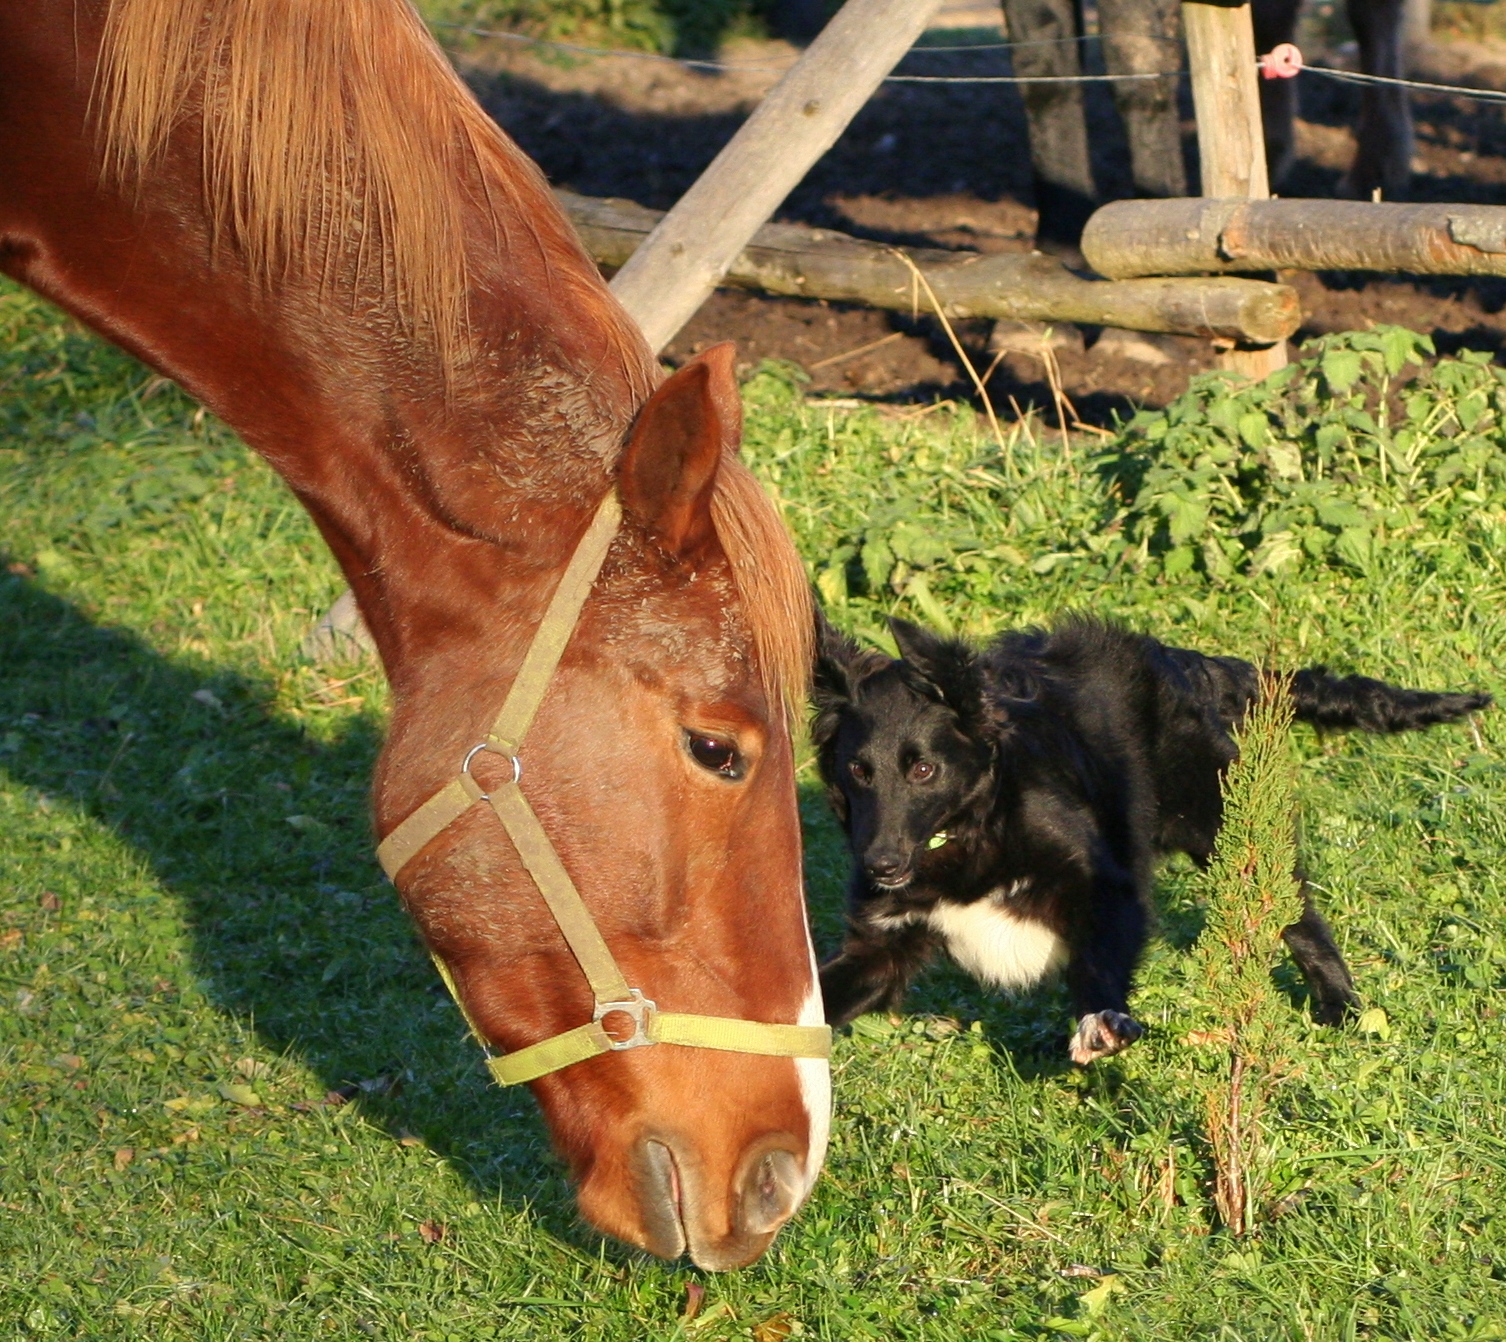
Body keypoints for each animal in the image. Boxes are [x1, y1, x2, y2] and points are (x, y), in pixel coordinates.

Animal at [812, 614, 1491, 1063]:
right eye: (858, 771)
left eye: (923, 770)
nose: (880, 865)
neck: (969, 830)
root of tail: (1178, 659)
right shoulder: (883, 945)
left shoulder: (1108, 884)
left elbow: (1098, 964)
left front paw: (1099, 1024)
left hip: (1226, 831)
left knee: (1300, 920)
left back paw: (1341, 1009)